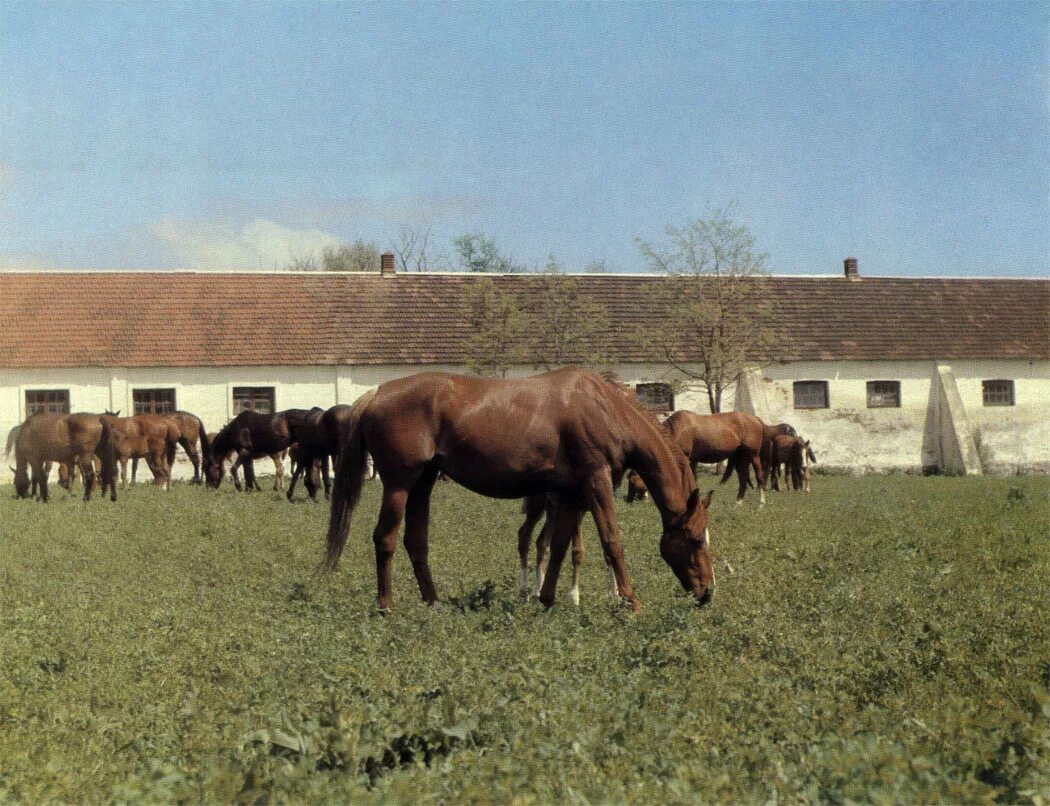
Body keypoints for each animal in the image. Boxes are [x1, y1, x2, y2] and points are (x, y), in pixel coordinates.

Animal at [319, 367, 713, 612]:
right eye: (695, 539)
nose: (707, 592)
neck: (605, 408)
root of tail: (375, 394)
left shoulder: (572, 494)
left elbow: (559, 546)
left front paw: (548, 598)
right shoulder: (596, 482)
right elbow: (611, 541)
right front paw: (631, 601)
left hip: (424, 482)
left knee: (415, 541)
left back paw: (434, 602)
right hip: (400, 484)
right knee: (384, 538)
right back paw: (387, 605)